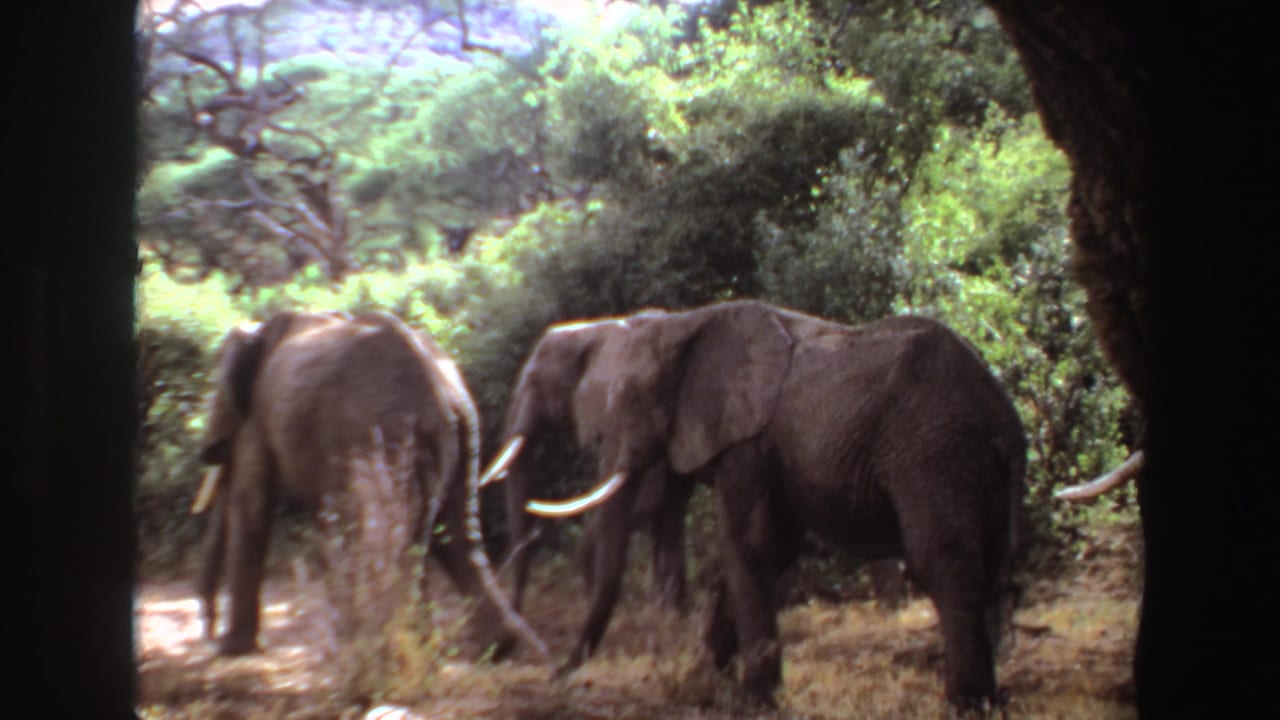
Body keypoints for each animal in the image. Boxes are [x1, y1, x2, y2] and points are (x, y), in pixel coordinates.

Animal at [192, 310, 548, 661]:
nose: (209, 635)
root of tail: (441, 390)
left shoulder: (256, 414)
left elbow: (250, 503)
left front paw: (233, 649)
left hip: (385, 430)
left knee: (393, 537)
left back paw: (390, 647)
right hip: (459, 430)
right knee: (454, 535)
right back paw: (492, 649)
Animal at [498, 300, 1027, 712]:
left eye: (634, 400)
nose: (556, 673)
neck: (687, 323)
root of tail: (1001, 411)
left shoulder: (745, 443)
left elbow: (752, 544)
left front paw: (751, 699)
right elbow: (775, 549)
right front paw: (706, 680)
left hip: (934, 454)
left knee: (944, 560)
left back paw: (966, 703)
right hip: (978, 470)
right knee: (994, 562)